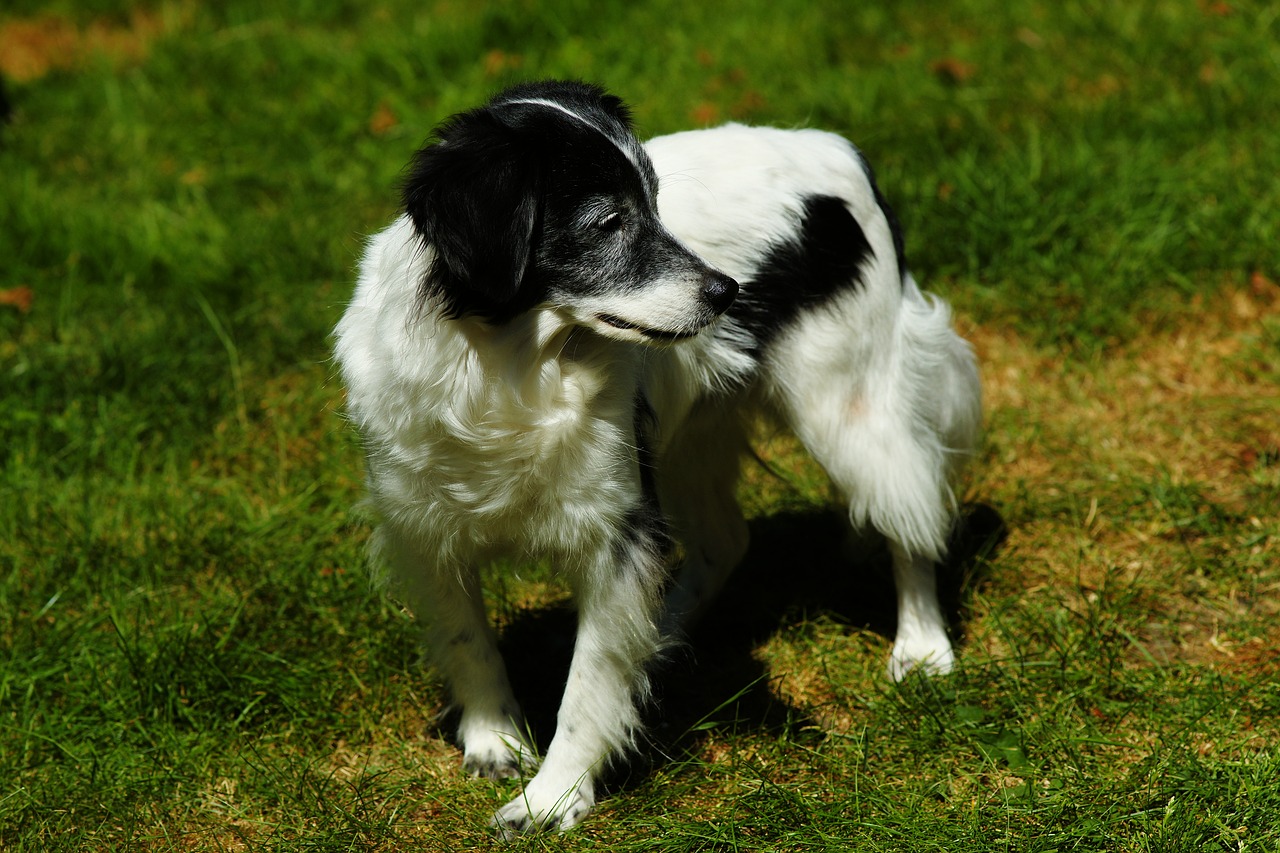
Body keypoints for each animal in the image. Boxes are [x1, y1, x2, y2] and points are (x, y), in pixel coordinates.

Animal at [335, 79, 983, 829]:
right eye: (608, 222)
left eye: (654, 204)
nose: (727, 291)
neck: (513, 367)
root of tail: (836, 146)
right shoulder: (423, 522)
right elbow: (470, 640)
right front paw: (495, 743)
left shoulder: (617, 529)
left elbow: (588, 683)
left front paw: (552, 798)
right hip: (690, 440)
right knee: (725, 542)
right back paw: (664, 636)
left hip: (850, 408)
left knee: (912, 514)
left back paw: (922, 647)